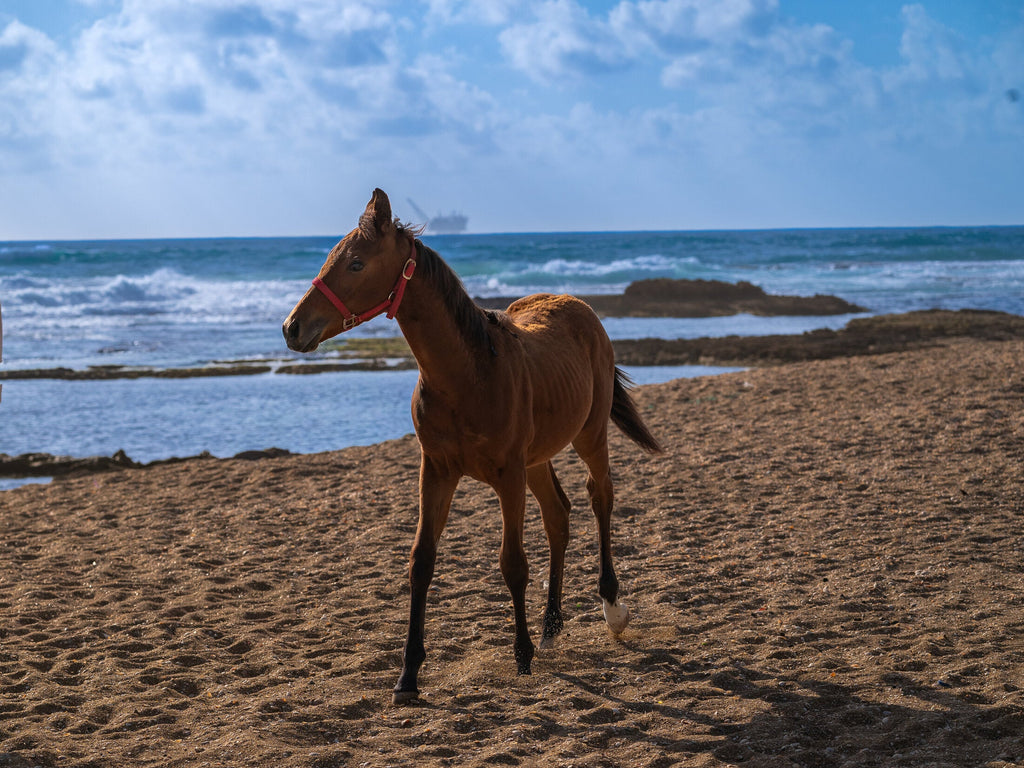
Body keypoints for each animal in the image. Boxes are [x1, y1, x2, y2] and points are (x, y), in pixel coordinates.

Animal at [283, 189, 662, 704]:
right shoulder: (437, 471)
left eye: (357, 263)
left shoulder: (507, 477)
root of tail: (579, 306)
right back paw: (551, 625)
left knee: (600, 496)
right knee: (558, 517)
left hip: (588, 435)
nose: (292, 327)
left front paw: (522, 656)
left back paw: (611, 609)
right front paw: (408, 675)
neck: (469, 375)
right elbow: (421, 561)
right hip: (537, 459)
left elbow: (512, 564)